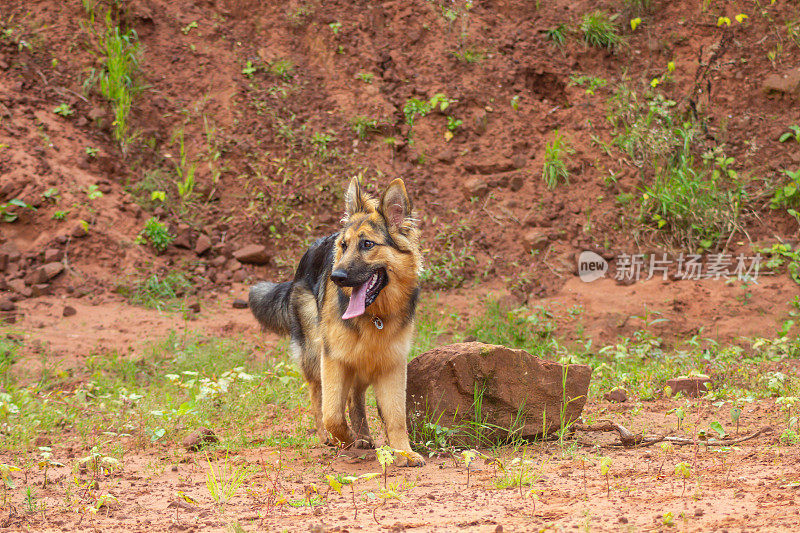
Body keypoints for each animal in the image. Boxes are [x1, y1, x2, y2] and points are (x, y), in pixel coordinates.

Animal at [248, 178, 424, 466]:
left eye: (367, 244)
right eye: (343, 246)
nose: (336, 277)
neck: (374, 316)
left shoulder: (392, 364)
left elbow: (397, 416)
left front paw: (403, 452)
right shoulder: (333, 359)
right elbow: (332, 412)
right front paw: (345, 438)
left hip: (362, 359)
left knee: (355, 396)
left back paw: (363, 435)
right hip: (314, 351)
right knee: (317, 395)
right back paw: (330, 437)